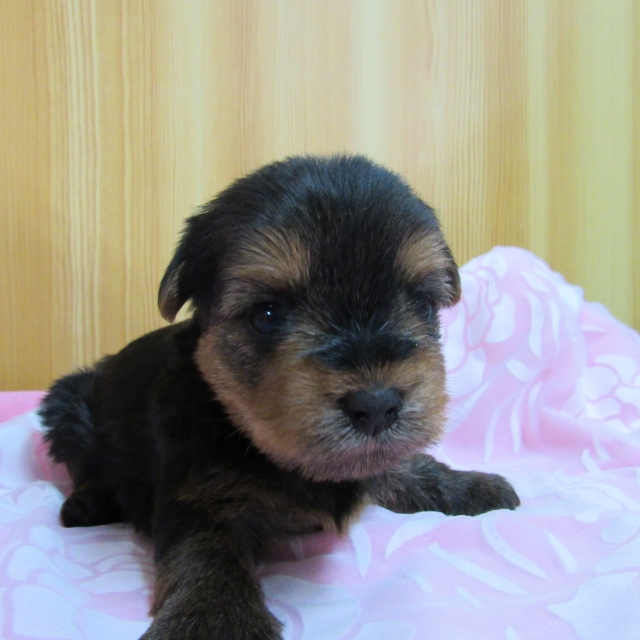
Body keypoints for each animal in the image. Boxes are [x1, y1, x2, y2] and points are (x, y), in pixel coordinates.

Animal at [39, 155, 519, 640]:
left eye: (421, 302)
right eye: (267, 314)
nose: (376, 405)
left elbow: (396, 465)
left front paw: (467, 485)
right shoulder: (194, 492)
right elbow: (207, 550)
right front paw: (214, 619)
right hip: (67, 407)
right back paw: (87, 503)